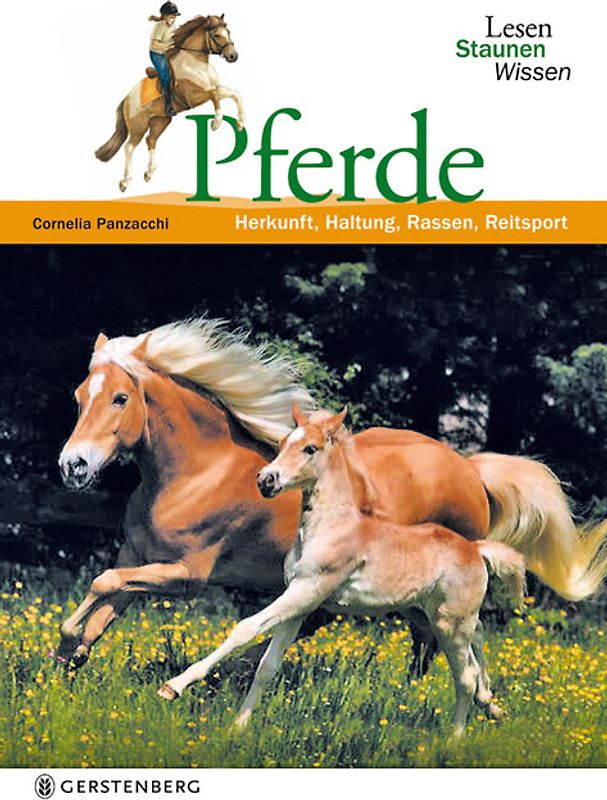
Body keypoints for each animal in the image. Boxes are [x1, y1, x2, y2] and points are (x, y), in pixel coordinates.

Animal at [56, 318, 607, 676]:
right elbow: (106, 601)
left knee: (425, 641)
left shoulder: (187, 576)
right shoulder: (140, 556)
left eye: (120, 398)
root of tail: (470, 470)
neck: (197, 471)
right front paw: (69, 657)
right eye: (80, 397)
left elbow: (104, 584)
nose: (73, 465)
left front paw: (67, 647)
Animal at [94, 15, 245, 193]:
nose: (233, 55)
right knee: (130, 147)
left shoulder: (214, 88)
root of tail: (126, 99)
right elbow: (214, 96)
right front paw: (216, 123)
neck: (196, 63)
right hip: (138, 126)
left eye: (228, 32)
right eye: (216, 35)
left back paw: (149, 173)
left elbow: (235, 94)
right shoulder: (194, 97)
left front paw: (240, 123)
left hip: (161, 121)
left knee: (151, 140)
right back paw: (125, 181)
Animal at [159, 405, 526, 736]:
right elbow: (267, 666)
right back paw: (488, 708)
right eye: (283, 443)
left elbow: (245, 629)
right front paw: (238, 727)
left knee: (465, 678)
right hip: (431, 616)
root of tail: (475, 549)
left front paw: (173, 686)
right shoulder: (299, 604)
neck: (329, 527)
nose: (266, 480)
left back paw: (453, 741)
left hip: (451, 625)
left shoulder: (307, 590)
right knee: (476, 655)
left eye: (310, 448)